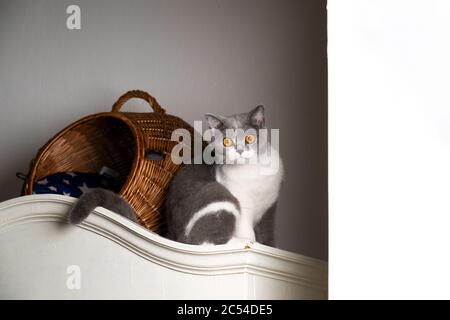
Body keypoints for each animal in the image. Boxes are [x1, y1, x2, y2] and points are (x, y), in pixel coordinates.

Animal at [68, 106, 284, 246]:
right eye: (226, 142)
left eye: (249, 138)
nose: (239, 150)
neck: (254, 170)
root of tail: (171, 235)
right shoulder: (242, 202)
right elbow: (247, 231)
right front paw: (250, 242)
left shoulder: (271, 208)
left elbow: (268, 233)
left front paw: (268, 247)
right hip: (220, 196)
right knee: (201, 241)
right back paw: (236, 242)